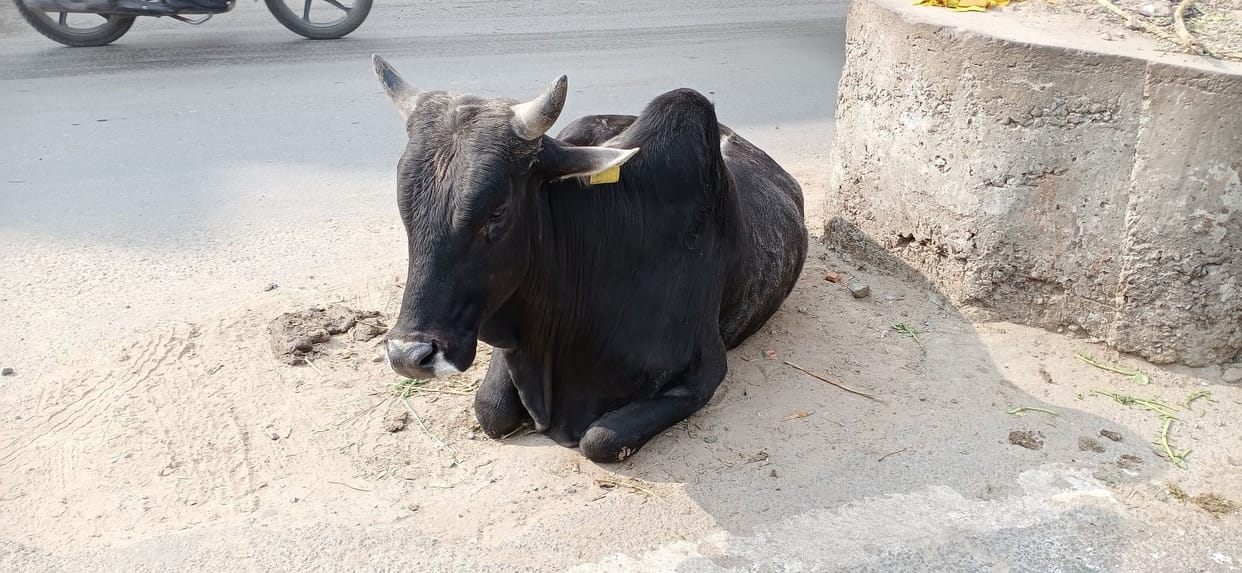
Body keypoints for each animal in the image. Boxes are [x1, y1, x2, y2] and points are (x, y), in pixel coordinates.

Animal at [373, 55, 807, 463]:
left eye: (497, 210)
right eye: (404, 206)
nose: (409, 355)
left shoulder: (703, 373)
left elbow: (599, 439)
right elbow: (490, 409)